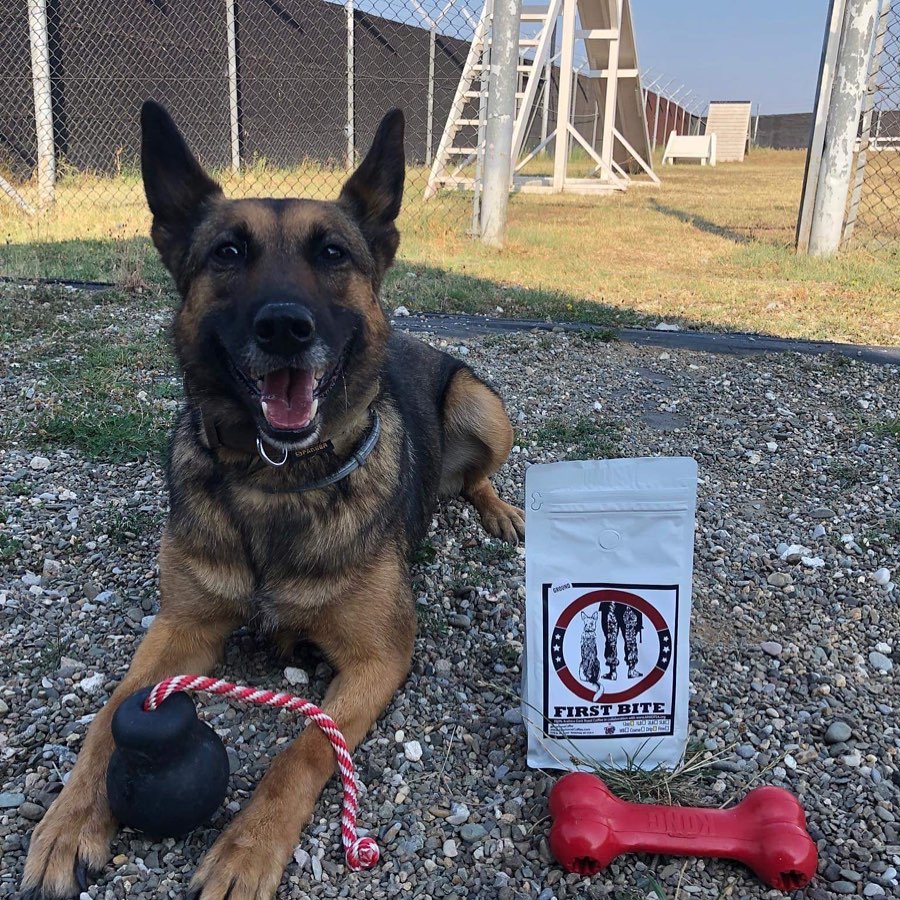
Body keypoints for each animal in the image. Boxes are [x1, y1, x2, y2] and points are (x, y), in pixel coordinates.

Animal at [22, 102, 520, 896]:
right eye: (228, 252)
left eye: (333, 254)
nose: (285, 326)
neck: (275, 481)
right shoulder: (178, 626)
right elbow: (108, 715)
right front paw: (70, 821)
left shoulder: (379, 656)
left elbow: (308, 746)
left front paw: (247, 848)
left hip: (481, 406)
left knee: (476, 475)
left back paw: (499, 510)